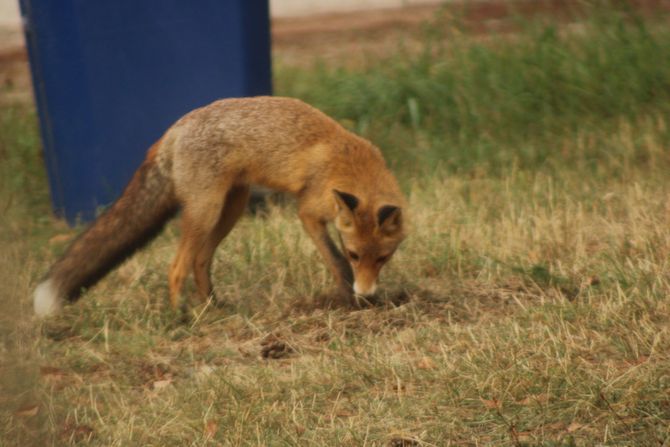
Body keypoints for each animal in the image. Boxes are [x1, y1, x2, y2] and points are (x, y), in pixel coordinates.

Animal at [34, 96, 406, 316]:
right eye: (356, 254)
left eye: (383, 258)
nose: (367, 294)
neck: (351, 165)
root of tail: (174, 128)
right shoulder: (308, 212)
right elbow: (335, 260)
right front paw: (351, 300)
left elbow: (335, 260)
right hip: (206, 210)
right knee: (177, 266)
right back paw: (181, 317)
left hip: (231, 208)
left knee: (200, 260)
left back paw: (213, 306)